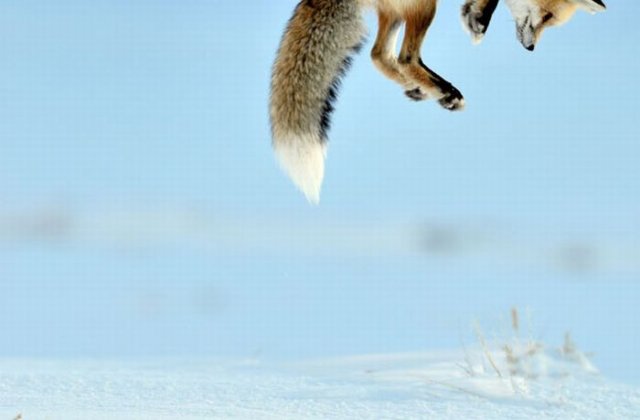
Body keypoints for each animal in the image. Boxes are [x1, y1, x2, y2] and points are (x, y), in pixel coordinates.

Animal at [268, 0, 604, 203]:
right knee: (404, 57)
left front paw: (474, 14)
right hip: (424, 6)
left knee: (379, 56)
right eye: (547, 15)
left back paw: (429, 91)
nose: (531, 48)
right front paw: (478, 18)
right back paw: (439, 89)